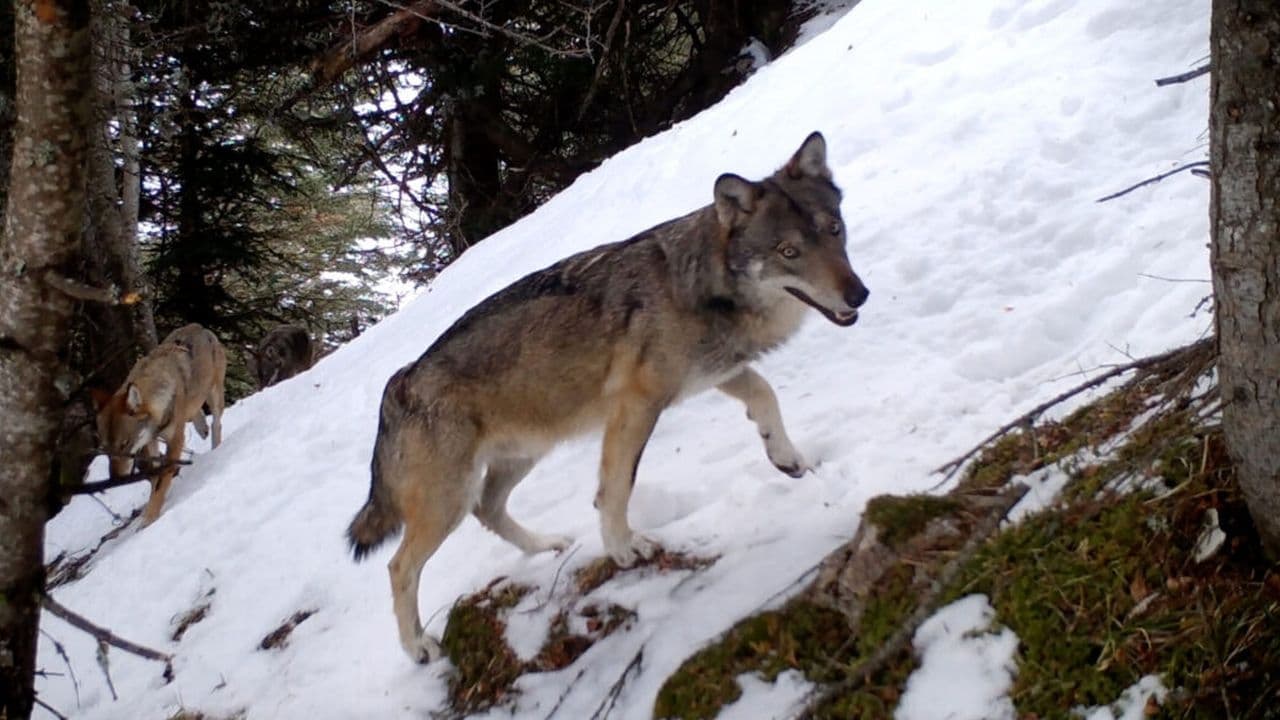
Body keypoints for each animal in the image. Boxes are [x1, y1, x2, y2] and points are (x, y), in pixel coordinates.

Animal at [92, 324, 227, 520]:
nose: (116, 480)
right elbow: (155, 477)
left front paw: (148, 518)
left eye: (124, 444)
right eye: (105, 449)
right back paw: (202, 428)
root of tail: (198, 326)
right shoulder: (150, 441)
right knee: (196, 412)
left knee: (216, 424)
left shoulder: (175, 441)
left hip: (215, 395)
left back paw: (216, 448)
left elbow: (162, 482)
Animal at [348, 130, 870, 661]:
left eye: (834, 229)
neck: (699, 285)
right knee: (400, 565)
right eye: (788, 251)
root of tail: (399, 385)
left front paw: (786, 457)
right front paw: (623, 548)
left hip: (519, 459)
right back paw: (418, 646)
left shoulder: (710, 374)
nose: (859, 295)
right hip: (449, 500)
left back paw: (547, 546)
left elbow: (765, 394)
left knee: (488, 510)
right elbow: (616, 487)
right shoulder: (638, 404)